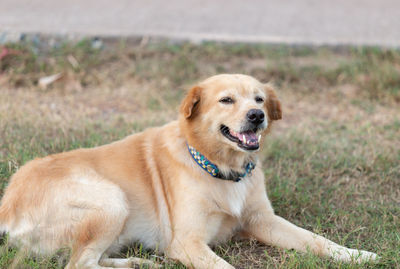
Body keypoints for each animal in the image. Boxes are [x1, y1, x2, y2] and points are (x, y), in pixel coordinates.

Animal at [0, 74, 376, 268]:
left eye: (258, 99)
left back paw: (138, 263)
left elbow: (315, 239)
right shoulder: (187, 242)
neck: (221, 168)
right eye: (226, 100)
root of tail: (7, 203)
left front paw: (355, 254)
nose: (257, 116)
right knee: (79, 264)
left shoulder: (262, 220)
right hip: (111, 200)